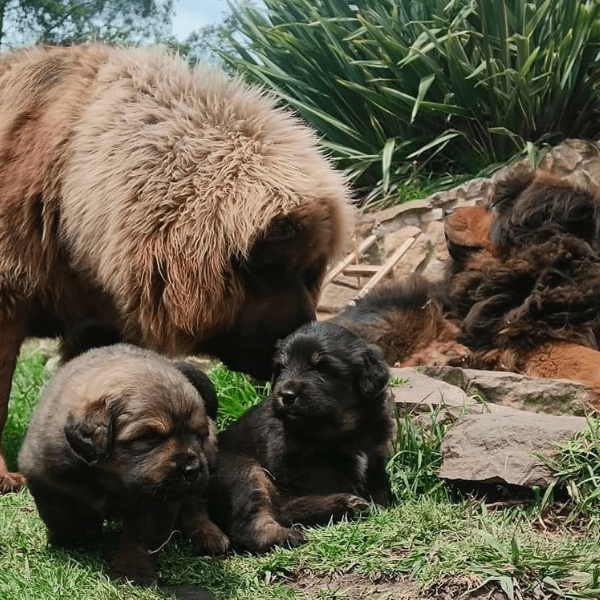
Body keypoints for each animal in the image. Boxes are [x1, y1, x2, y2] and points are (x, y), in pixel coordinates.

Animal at [18, 344, 230, 584]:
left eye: (198, 435)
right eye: (150, 436)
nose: (192, 470)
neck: (108, 480)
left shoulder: (156, 502)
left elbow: (141, 539)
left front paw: (134, 571)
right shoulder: (45, 478)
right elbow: (62, 515)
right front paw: (75, 537)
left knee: (195, 504)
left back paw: (208, 534)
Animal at [207, 324, 398, 552]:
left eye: (322, 368)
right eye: (282, 367)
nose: (286, 395)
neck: (344, 429)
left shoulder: (374, 456)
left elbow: (379, 489)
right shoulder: (302, 466)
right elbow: (336, 482)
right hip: (243, 469)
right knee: (251, 523)